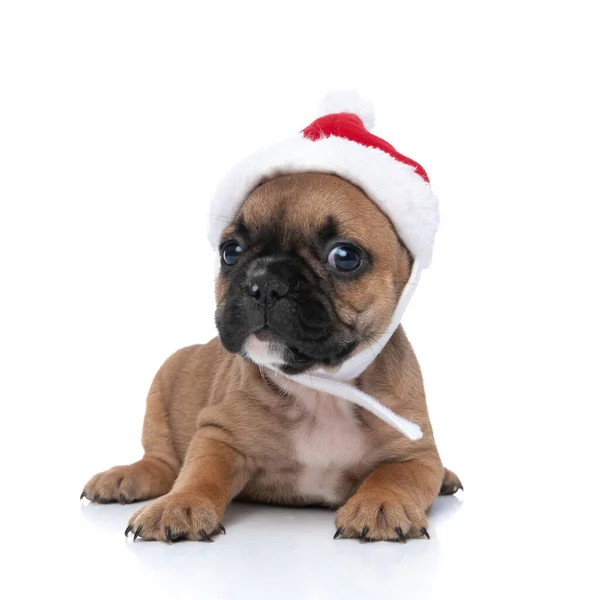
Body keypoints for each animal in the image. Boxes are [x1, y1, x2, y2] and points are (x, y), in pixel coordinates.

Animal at [82, 166, 462, 540]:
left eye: (345, 257)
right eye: (230, 251)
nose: (264, 282)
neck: (319, 387)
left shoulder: (414, 454)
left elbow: (395, 476)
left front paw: (382, 503)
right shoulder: (218, 434)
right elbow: (200, 471)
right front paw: (179, 504)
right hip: (162, 387)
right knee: (162, 461)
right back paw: (123, 477)